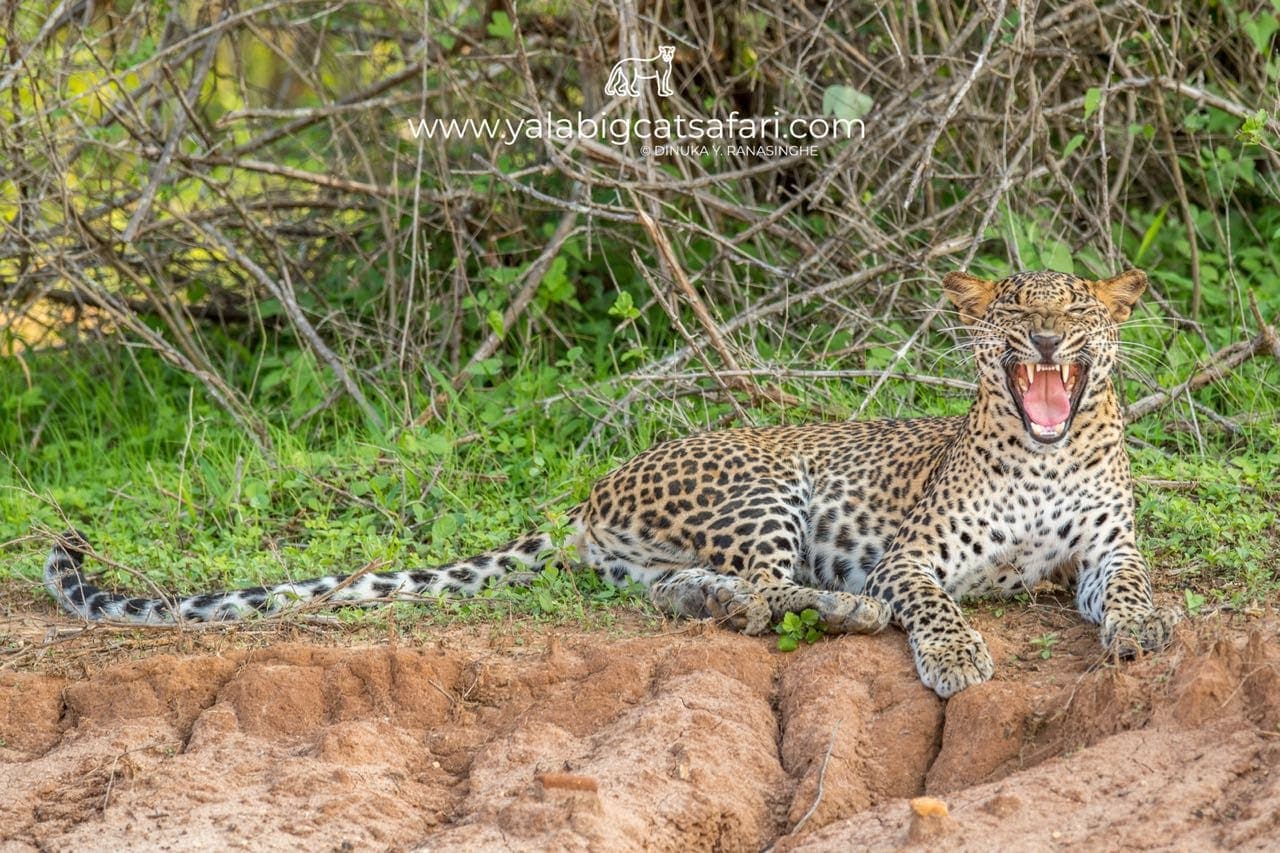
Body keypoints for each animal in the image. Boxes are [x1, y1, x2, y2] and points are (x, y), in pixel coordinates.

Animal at [44, 268, 1182, 697]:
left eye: (1079, 313)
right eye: (1016, 312)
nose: (1046, 339)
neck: (1041, 450)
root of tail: (591, 492)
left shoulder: (1107, 544)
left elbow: (1128, 580)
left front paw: (1140, 626)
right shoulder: (914, 554)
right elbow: (935, 601)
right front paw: (952, 652)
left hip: (674, 548)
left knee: (708, 595)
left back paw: (723, 600)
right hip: (767, 490)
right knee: (762, 591)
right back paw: (849, 610)